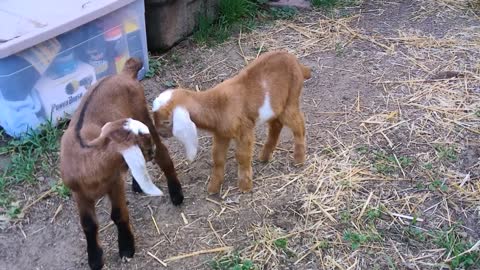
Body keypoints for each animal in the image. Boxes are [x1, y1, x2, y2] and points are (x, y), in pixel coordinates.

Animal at [60, 58, 184, 270]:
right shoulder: (79, 193)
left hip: (142, 112)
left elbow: (118, 215)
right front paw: (95, 259)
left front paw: (126, 248)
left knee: (164, 155)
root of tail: (124, 73)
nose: (150, 152)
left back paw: (176, 193)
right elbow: (88, 225)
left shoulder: (115, 182)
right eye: (143, 142)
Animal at [153, 50, 312, 194]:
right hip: (275, 107)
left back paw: (299, 159)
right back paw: (264, 157)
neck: (217, 105)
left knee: (298, 124)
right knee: (276, 125)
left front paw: (245, 187)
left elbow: (242, 156)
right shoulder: (221, 134)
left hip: (291, 97)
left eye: (166, 121)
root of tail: (298, 63)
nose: (160, 134)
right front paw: (213, 188)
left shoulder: (244, 130)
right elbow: (217, 157)